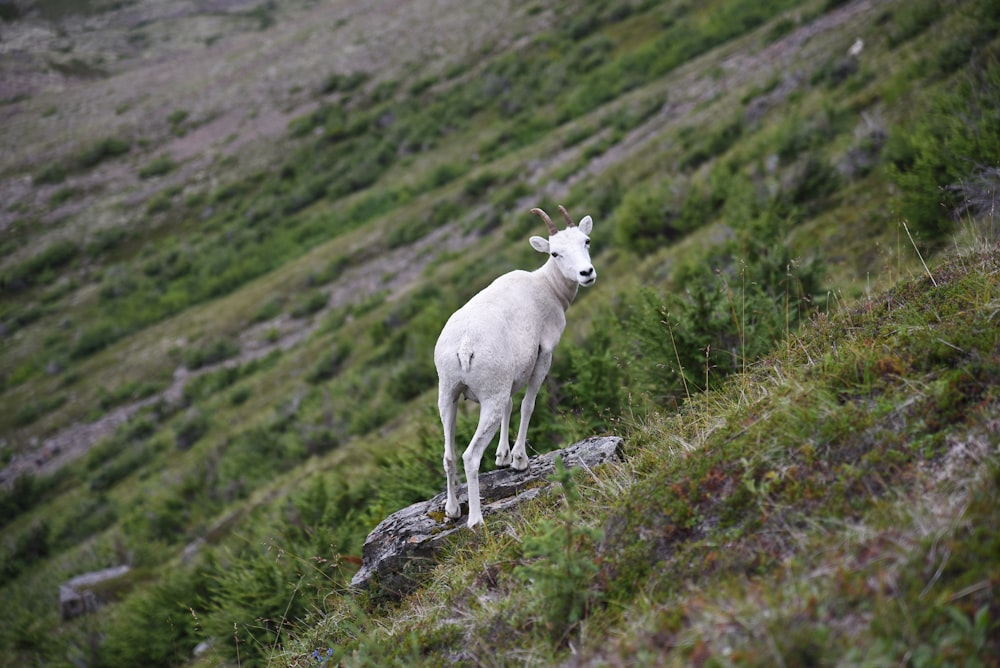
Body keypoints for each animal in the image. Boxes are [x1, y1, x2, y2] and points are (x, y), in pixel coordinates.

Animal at [436, 204, 592, 528]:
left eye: (586, 241)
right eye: (555, 253)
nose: (587, 273)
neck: (547, 288)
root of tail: (464, 346)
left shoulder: (507, 382)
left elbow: (511, 405)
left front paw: (503, 457)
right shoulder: (544, 355)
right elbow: (527, 405)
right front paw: (519, 460)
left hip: (448, 397)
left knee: (449, 455)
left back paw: (452, 510)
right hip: (488, 401)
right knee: (470, 456)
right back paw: (475, 521)